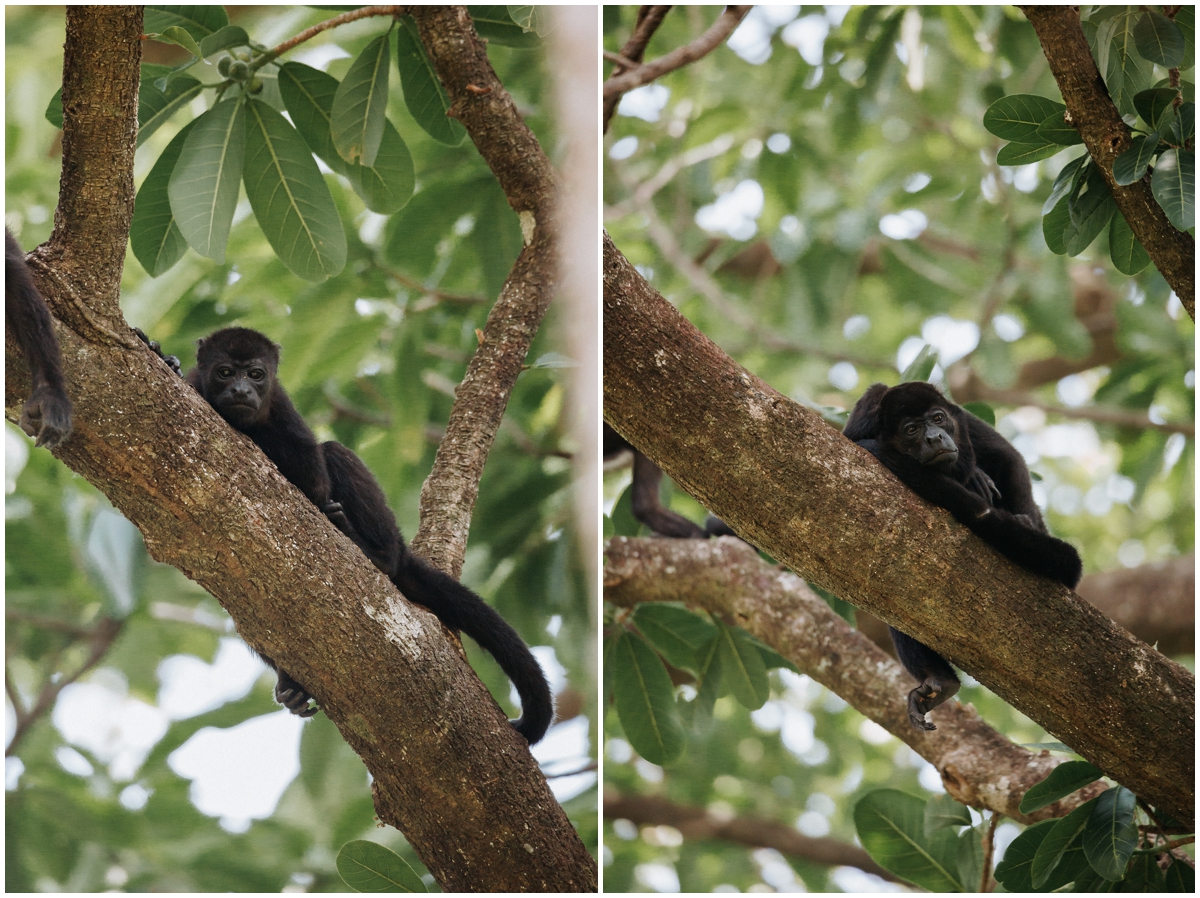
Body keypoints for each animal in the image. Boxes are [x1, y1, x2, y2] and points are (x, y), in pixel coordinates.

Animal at [177, 326, 552, 739]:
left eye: (256, 375)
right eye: (225, 372)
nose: (242, 391)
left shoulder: (282, 408)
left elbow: (314, 479)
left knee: (335, 453)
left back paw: (373, 552)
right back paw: (293, 686)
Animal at [844, 381, 1089, 734]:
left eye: (938, 418)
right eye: (911, 430)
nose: (934, 438)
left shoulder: (964, 420)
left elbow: (1008, 457)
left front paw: (1015, 512)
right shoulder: (863, 418)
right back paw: (940, 681)